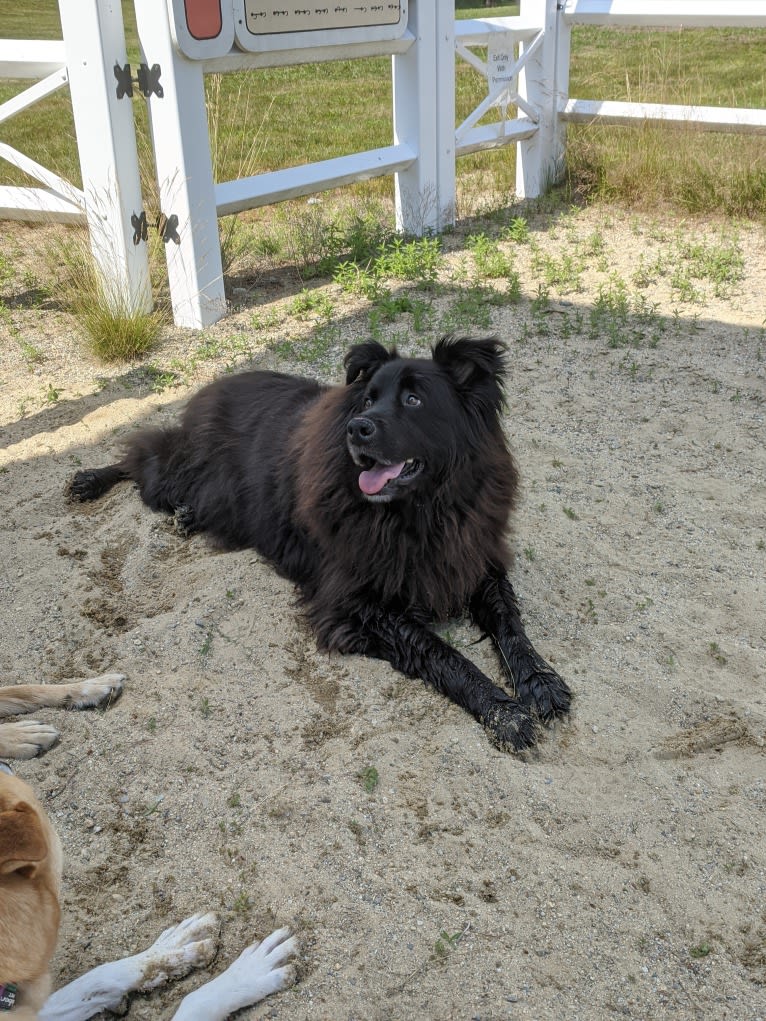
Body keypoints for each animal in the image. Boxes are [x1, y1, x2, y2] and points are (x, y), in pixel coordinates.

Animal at [68, 336, 571, 751]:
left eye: (414, 399)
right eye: (367, 399)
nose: (357, 428)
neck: (422, 510)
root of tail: (220, 381)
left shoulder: (474, 559)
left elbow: (510, 623)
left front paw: (539, 681)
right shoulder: (352, 604)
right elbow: (440, 652)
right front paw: (502, 711)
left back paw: (184, 515)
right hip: (184, 472)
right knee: (142, 456)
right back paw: (90, 480)